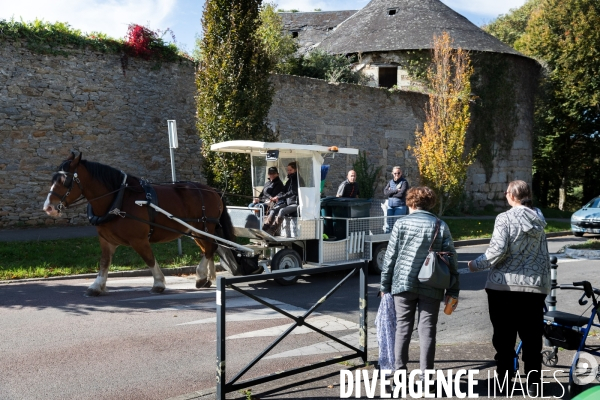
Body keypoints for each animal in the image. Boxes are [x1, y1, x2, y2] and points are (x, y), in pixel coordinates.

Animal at [41, 152, 234, 296]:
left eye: (64, 181)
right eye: (52, 179)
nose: (48, 207)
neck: (118, 199)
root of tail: (212, 190)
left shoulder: (139, 240)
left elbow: (149, 259)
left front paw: (158, 283)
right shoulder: (106, 240)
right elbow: (104, 263)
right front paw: (97, 285)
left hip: (204, 227)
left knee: (210, 248)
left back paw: (201, 276)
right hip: (196, 231)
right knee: (210, 248)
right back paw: (208, 277)